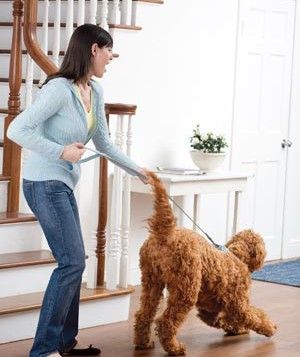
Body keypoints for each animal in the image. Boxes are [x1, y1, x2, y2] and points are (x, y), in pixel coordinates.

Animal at [134, 171, 276, 354]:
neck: (236, 255)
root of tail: (166, 234)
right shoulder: (240, 304)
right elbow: (253, 316)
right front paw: (269, 327)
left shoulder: (209, 309)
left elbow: (218, 319)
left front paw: (235, 328)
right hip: (186, 289)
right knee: (166, 322)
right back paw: (174, 347)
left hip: (151, 281)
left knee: (143, 314)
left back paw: (143, 342)